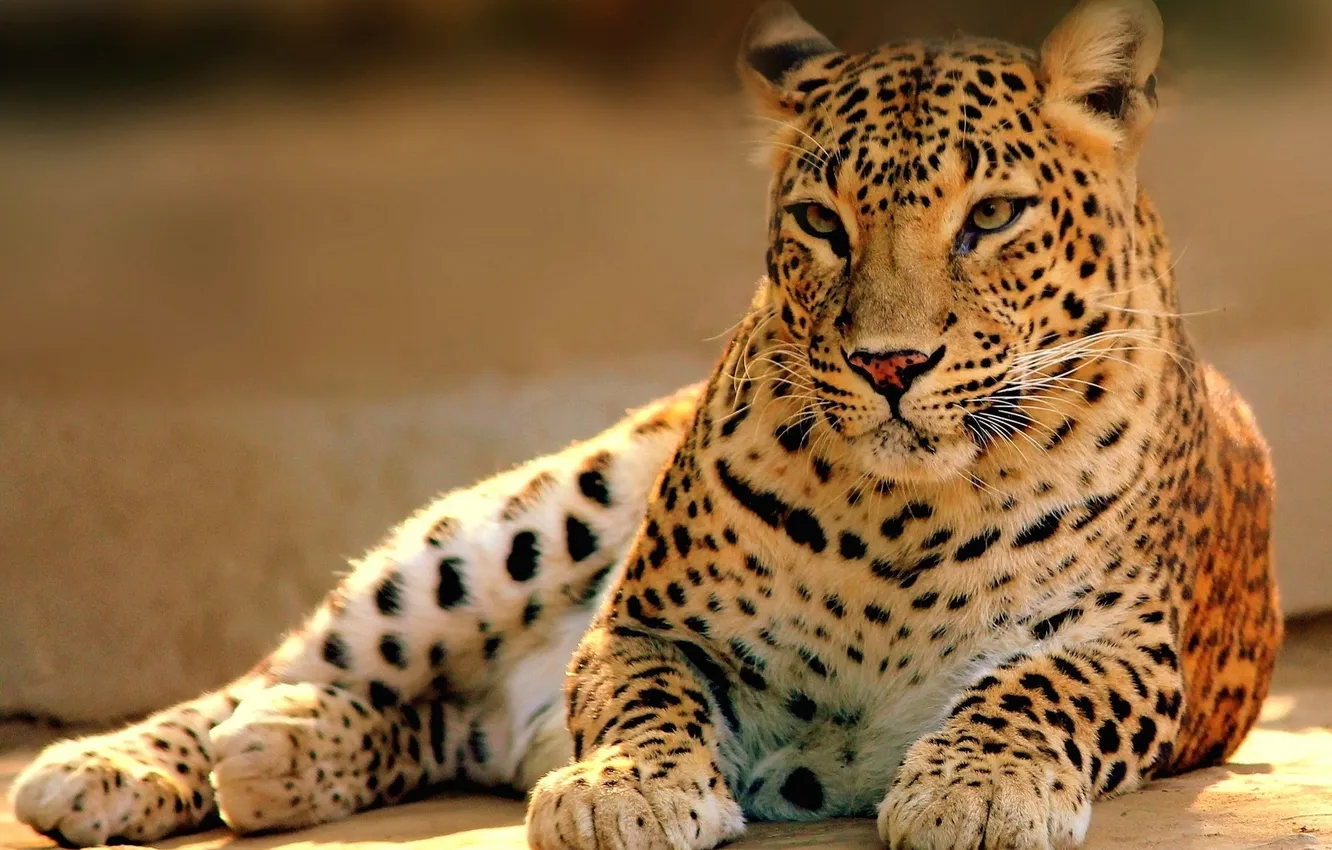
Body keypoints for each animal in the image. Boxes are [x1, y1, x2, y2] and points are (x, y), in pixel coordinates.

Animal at [11, 1, 1280, 848]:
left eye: (994, 216)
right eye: (822, 224)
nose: (888, 363)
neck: (904, 517)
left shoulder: (1128, 646)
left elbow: (1037, 691)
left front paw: (976, 790)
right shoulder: (648, 623)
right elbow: (643, 695)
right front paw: (625, 789)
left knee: (432, 722)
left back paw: (285, 749)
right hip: (538, 516)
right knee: (300, 657)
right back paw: (116, 764)